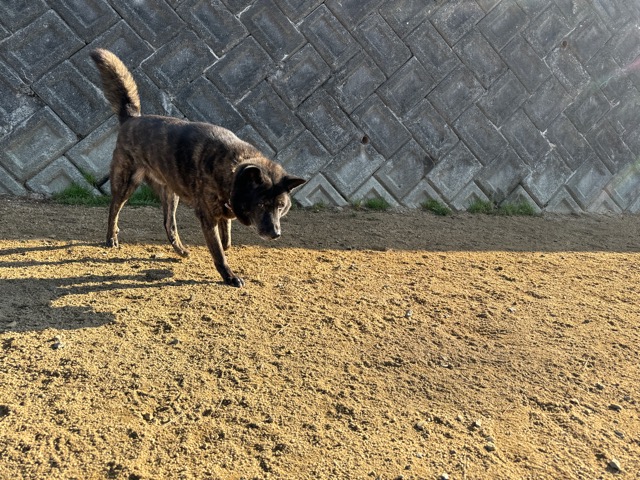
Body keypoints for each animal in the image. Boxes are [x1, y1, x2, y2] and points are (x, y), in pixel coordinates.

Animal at [90, 48, 306, 287]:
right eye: (261, 205)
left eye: (280, 206)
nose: (275, 234)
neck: (234, 168)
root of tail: (131, 118)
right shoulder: (207, 218)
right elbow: (219, 252)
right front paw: (229, 276)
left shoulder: (223, 211)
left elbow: (226, 239)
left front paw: (225, 245)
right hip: (126, 182)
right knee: (114, 209)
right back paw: (111, 238)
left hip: (170, 193)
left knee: (168, 223)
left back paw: (181, 250)